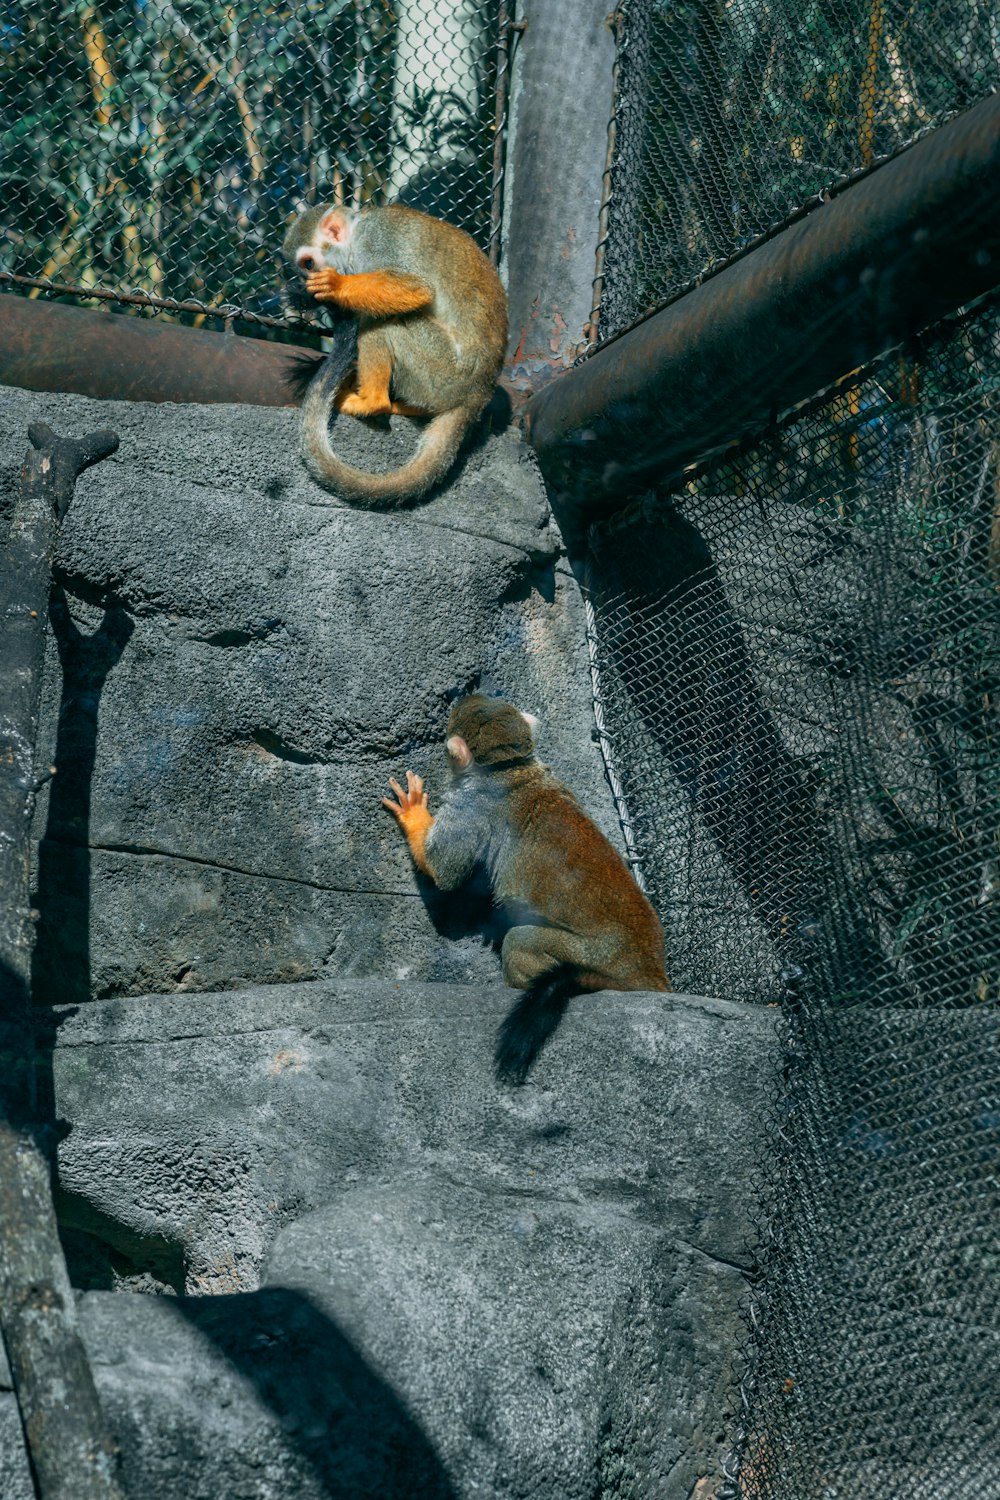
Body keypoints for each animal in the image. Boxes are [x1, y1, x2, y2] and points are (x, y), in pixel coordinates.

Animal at [283, 205, 509, 510]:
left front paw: (336, 285)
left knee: (383, 320)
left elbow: (416, 288)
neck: (356, 235)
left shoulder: (376, 242)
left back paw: (372, 402)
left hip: (443, 371)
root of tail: (479, 393)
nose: (307, 282)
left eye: (308, 264)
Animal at [386, 696, 671, 1086]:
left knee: (521, 940)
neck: (512, 769)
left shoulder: (471, 804)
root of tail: (652, 973)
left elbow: (445, 873)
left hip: (590, 957)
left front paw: (414, 813)